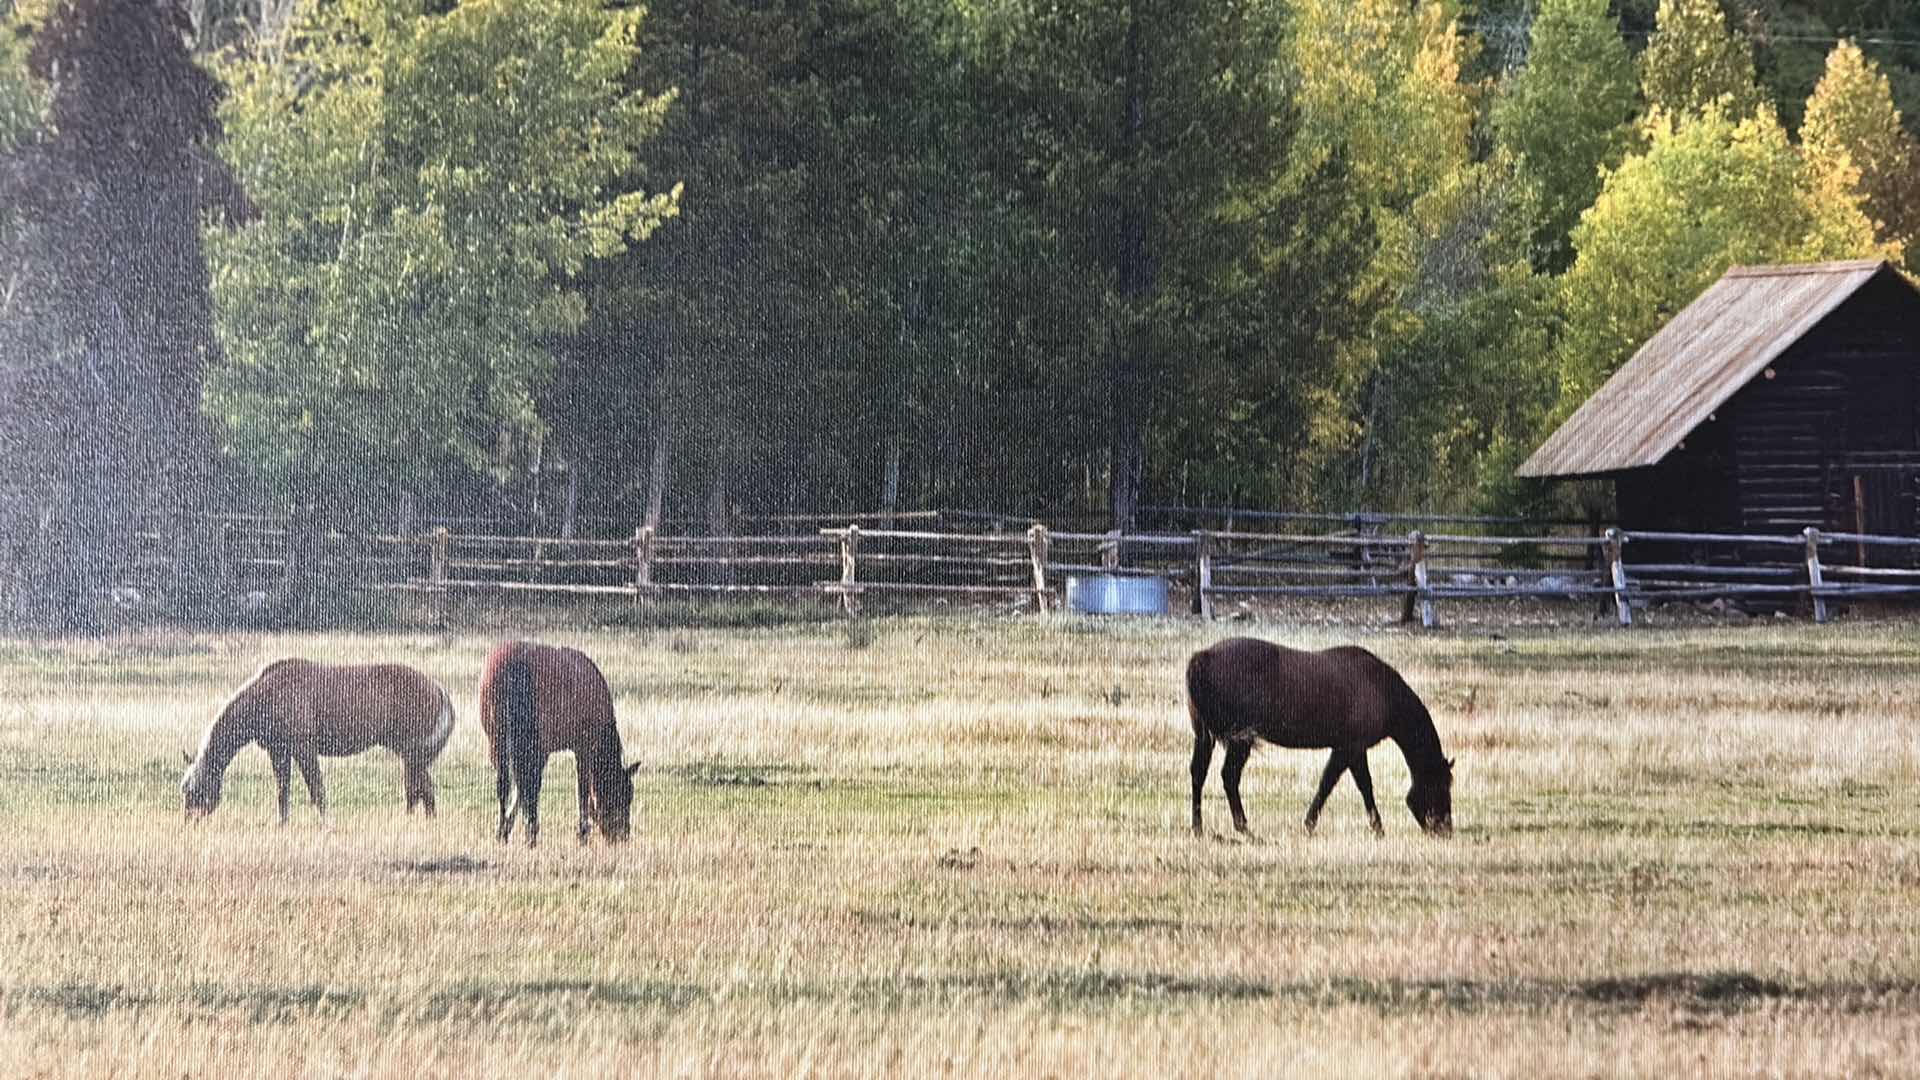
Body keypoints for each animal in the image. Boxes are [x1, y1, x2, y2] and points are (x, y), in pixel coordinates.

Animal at [180, 659, 455, 824]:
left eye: (194, 790)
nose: (189, 822)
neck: (268, 694)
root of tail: (439, 689)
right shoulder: (279, 753)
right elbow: (283, 791)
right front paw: (282, 824)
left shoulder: (304, 749)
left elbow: (316, 789)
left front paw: (326, 824)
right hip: (410, 758)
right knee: (419, 790)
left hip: (412, 756)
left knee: (422, 789)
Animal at [477, 640, 639, 847]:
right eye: (623, 796)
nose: (622, 836)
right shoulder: (582, 748)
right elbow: (582, 790)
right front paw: (582, 834)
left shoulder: (542, 752)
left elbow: (521, 789)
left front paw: (505, 829)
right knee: (528, 785)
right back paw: (531, 834)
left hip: (497, 742)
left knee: (505, 785)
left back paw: (507, 831)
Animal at [1185, 637, 1454, 838]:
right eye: (1441, 785)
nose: (1445, 830)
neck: (1381, 688)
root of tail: (1202, 657)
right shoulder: (1351, 749)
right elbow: (1352, 786)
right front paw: (1376, 829)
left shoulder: (1346, 750)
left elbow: (1334, 783)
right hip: (1240, 741)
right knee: (1229, 777)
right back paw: (1244, 828)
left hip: (1205, 737)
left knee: (1199, 773)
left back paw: (1198, 828)